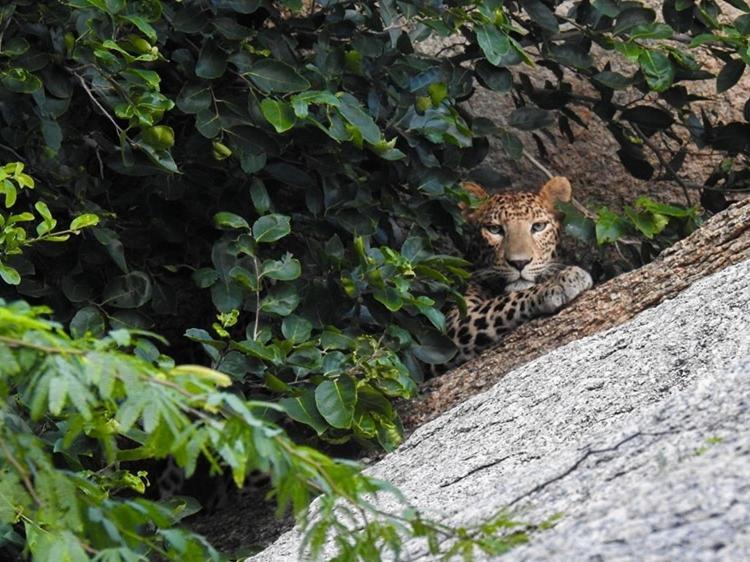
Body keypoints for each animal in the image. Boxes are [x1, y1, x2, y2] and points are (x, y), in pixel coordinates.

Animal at [440, 175, 592, 368]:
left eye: (538, 226)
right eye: (494, 229)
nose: (520, 262)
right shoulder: (452, 324)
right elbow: (503, 301)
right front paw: (559, 282)